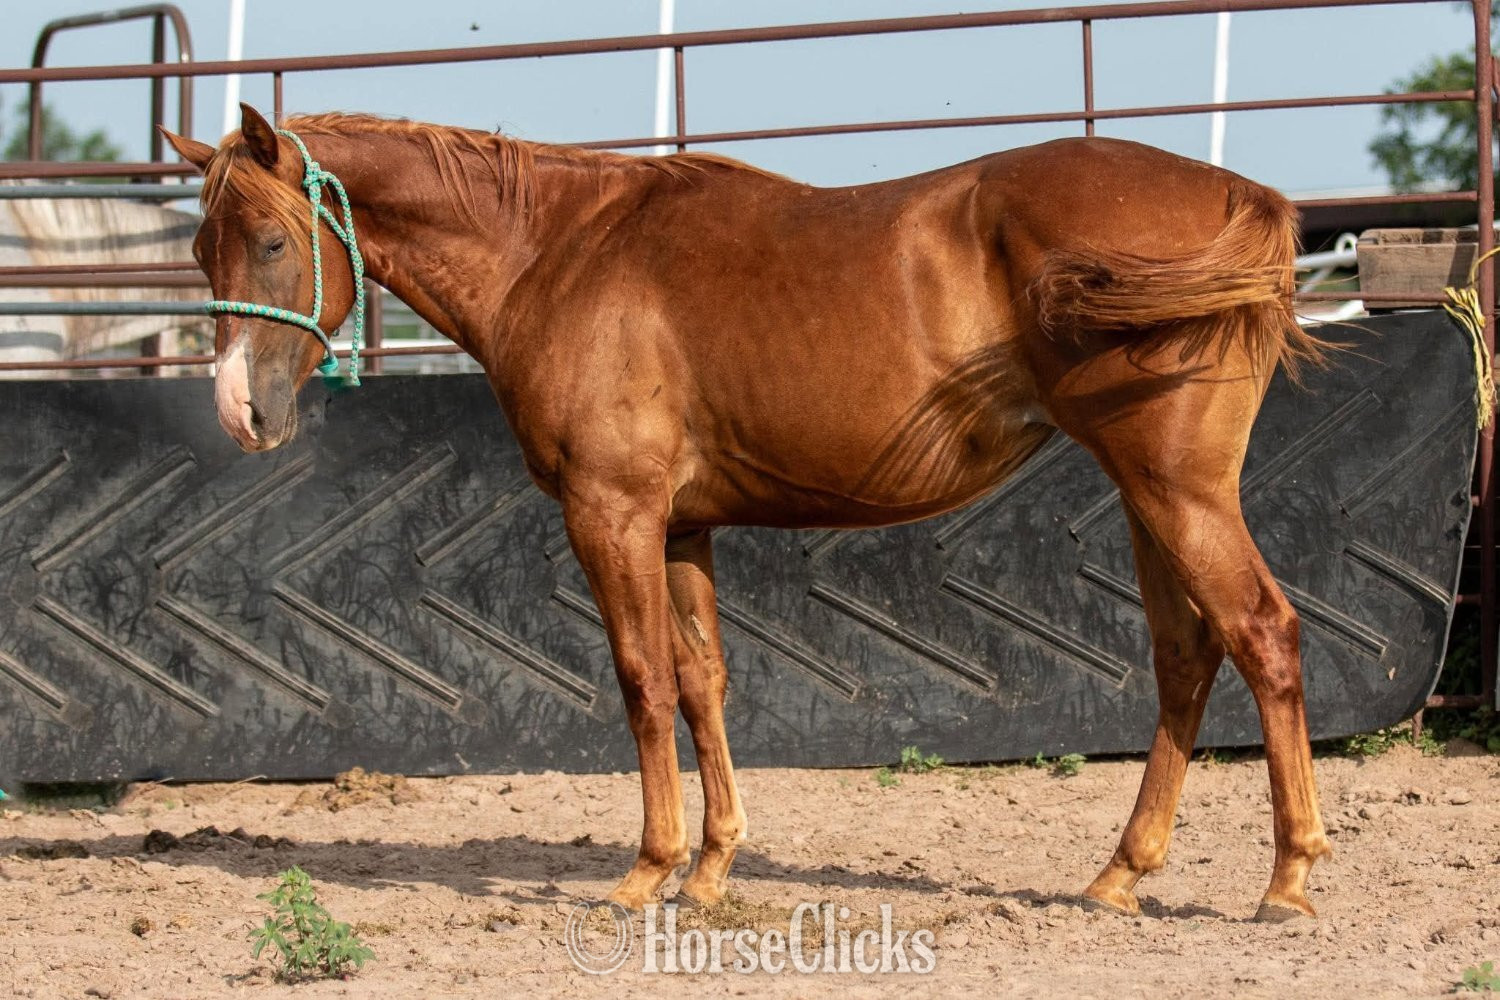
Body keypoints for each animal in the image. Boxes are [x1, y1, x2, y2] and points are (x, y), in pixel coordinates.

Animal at [162, 103, 1334, 921]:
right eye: (201, 249)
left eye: (272, 242)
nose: (240, 413)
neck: (557, 252)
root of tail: (1248, 200)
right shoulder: (682, 527)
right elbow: (703, 682)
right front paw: (712, 866)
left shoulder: (613, 515)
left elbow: (642, 680)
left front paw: (648, 870)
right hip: (1151, 497)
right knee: (1187, 656)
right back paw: (1121, 873)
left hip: (1177, 493)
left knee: (1262, 635)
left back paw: (1287, 878)